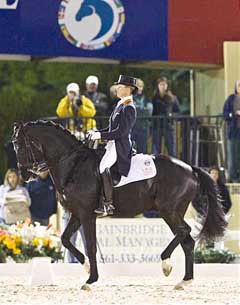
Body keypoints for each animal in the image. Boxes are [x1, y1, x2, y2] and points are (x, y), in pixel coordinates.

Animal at [12, 120, 228, 288]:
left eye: (20, 146)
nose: (24, 175)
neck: (72, 164)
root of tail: (191, 168)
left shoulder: (87, 214)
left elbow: (91, 246)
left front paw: (91, 280)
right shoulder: (76, 213)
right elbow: (65, 240)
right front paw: (86, 268)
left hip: (169, 211)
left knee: (185, 233)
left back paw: (169, 267)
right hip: (172, 212)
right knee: (186, 239)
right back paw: (183, 279)